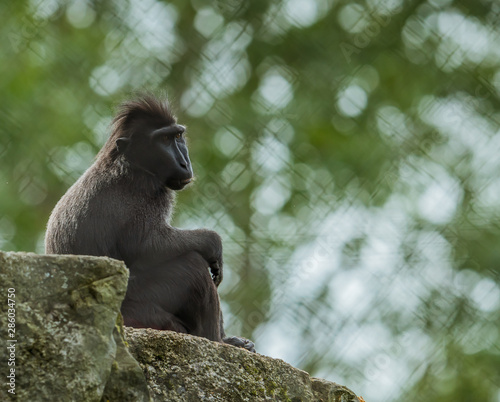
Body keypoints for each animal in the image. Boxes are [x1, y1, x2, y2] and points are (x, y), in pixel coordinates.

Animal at [45, 94, 256, 352]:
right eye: (163, 139)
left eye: (177, 136)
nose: (185, 163)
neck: (128, 161)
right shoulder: (144, 187)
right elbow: (148, 245)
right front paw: (213, 243)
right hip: (137, 311)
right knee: (191, 265)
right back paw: (213, 340)